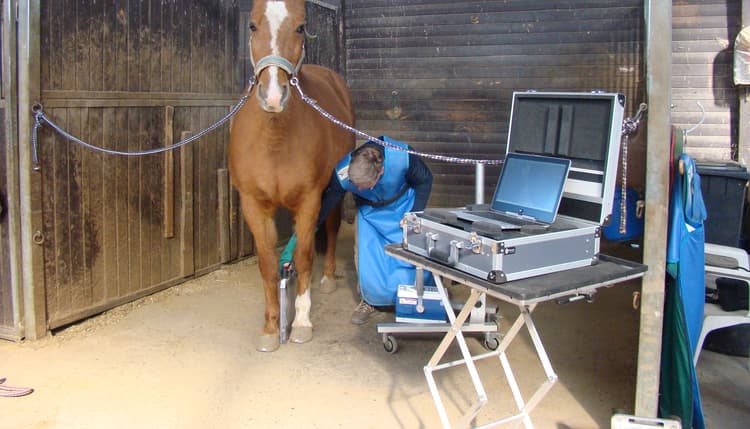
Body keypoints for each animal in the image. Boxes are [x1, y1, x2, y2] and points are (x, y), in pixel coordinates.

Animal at [228, 0, 355, 352]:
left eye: (300, 27)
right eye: (252, 25)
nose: (273, 96)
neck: (275, 136)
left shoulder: (310, 200)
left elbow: (303, 256)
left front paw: (301, 322)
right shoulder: (253, 206)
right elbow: (268, 264)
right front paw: (271, 328)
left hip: (334, 188)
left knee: (331, 227)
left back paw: (327, 278)